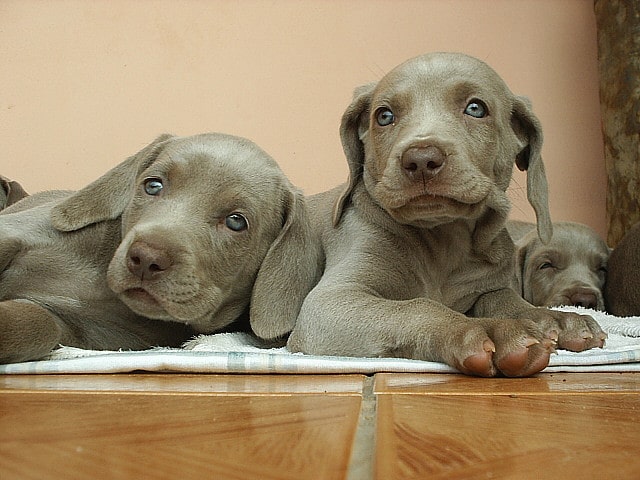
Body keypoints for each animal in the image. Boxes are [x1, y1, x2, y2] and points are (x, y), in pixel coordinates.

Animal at [0, 133, 318, 362]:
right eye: (153, 186)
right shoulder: (15, 231)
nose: (145, 258)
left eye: (236, 221)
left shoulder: (86, 330)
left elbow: (41, 323)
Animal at [276, 51, 604, 376]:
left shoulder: (489, 280)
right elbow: (419, 306)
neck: (444, 240)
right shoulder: (330, 302)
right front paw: (488, 329)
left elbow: (503, 296)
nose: (421, 159)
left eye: (475, 108)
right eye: (384, 116)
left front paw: (554, 318)